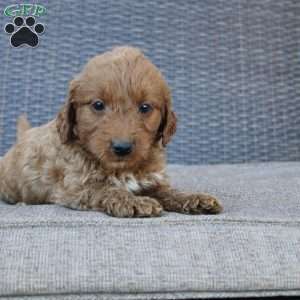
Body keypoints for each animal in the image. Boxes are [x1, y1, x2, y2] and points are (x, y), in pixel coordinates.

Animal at [0, 45, 221, 217]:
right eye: (98, 105)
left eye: (145, 107)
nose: (122, 147)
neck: (122, 168)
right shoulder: (75, 187)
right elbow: (106, 189)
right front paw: (134, 201)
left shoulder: (151, 181)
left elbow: (168, 191)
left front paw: (194, 198)